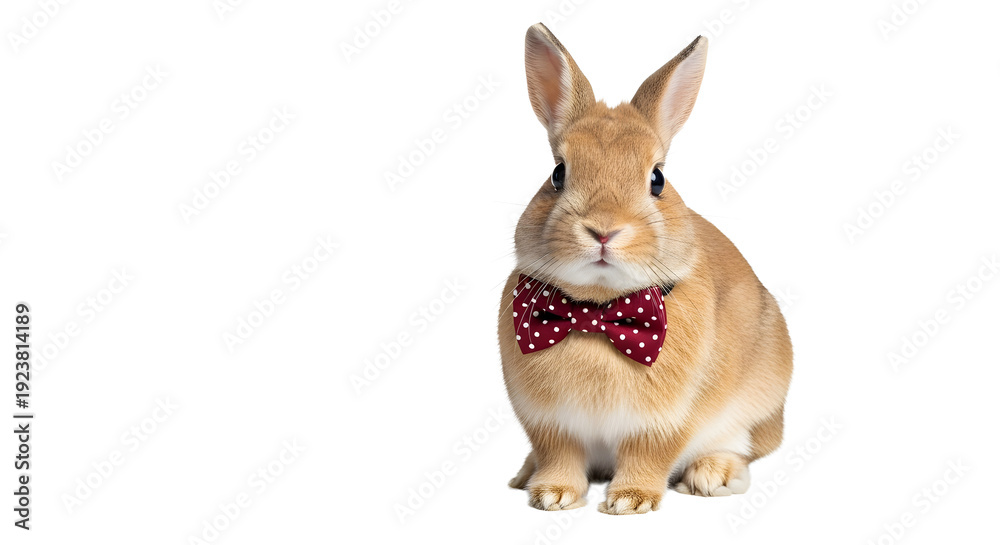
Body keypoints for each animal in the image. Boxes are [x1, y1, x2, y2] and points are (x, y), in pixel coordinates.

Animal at [498, 23, 793, 515]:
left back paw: (713, 476)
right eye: (558, 173)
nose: (604, 230)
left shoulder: (662, 423)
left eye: (657, 179)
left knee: (746, 446)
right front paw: (552, 495)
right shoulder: (549, 424)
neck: (596, 313)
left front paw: (629, 502)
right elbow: (559, 455)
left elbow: (647, 455)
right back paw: (524, 476)